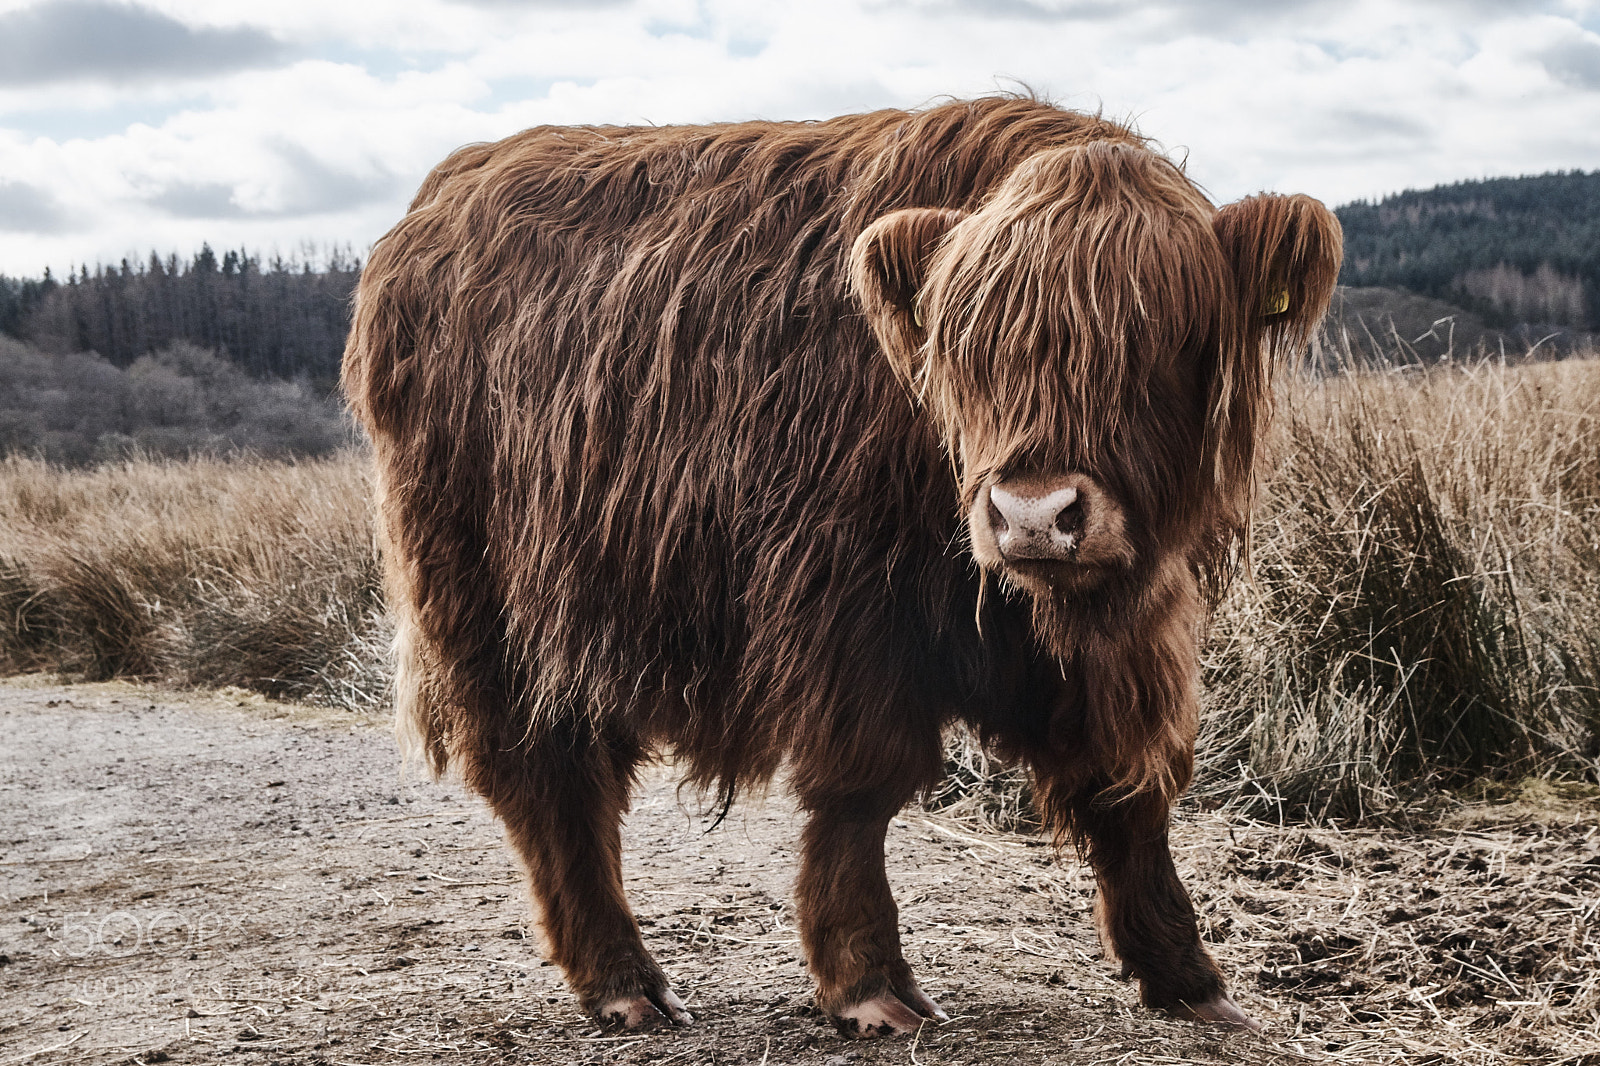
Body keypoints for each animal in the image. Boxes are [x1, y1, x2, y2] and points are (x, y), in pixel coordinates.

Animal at [342, 95, 1341, 1038]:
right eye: (966, 351)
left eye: (1164, 339)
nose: (1032, 516)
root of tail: (447, 192)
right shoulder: (848, 609)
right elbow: (861, 792)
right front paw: (869, 986)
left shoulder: (1132, 633)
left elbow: (1128, 792)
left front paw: (1189, 977)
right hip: (488, 606)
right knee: (549, 785)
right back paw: (624, 983)